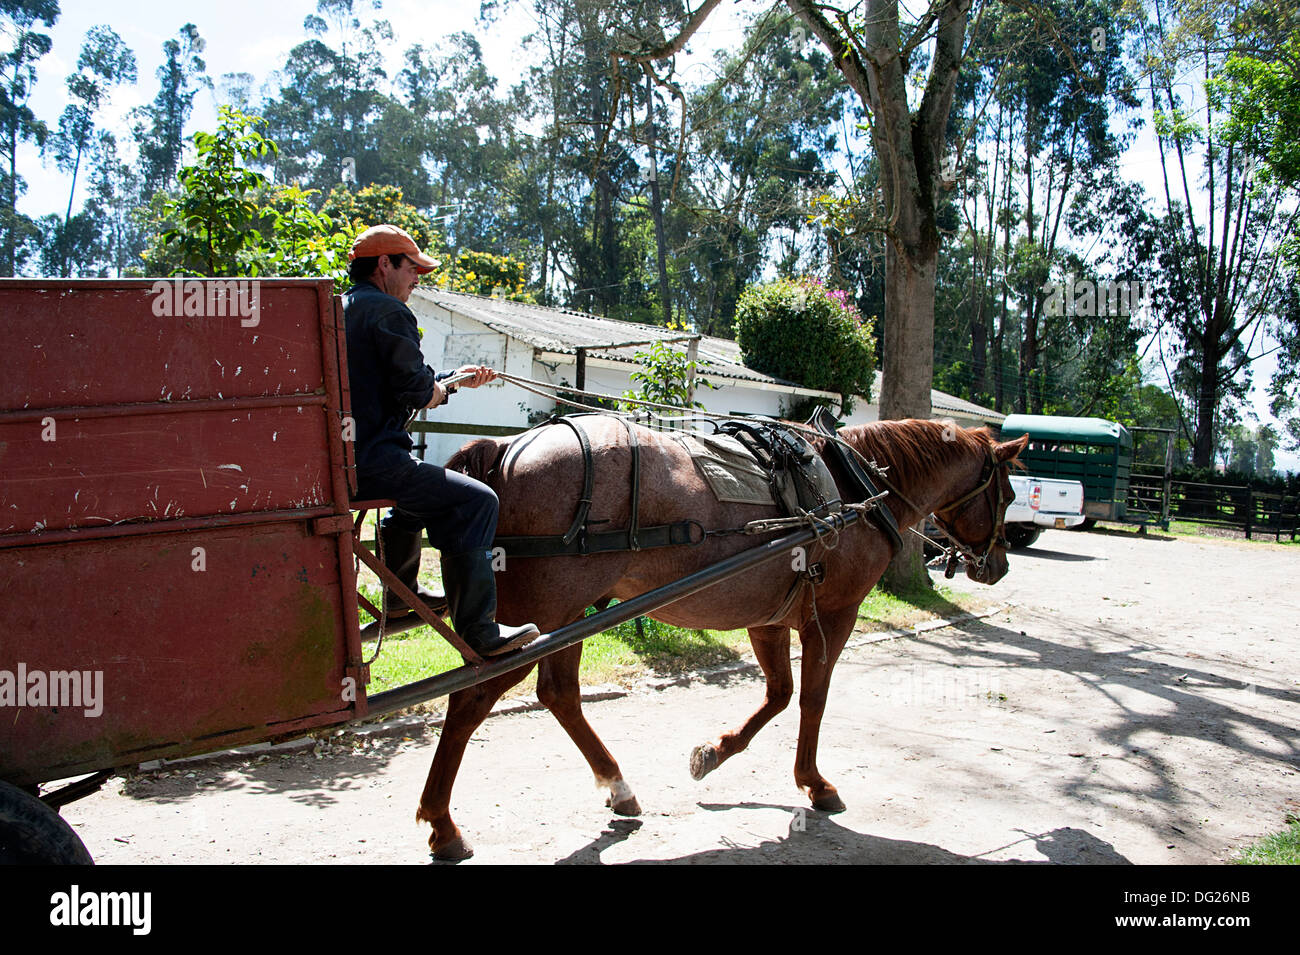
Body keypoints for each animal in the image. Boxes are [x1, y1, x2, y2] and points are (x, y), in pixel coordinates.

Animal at [416, 415, 1024, 862]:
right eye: (1009, 494)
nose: (998, 567)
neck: (854, 489)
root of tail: (506, 449)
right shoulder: (834, 615)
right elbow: (812, 699)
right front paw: (814, 783)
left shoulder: (769, 618)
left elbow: (778, 694)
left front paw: (715, 751)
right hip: (534, 624)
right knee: (472, 698)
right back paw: (443, 824)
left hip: (572, 615)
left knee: (559, 694)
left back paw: (618, 786)